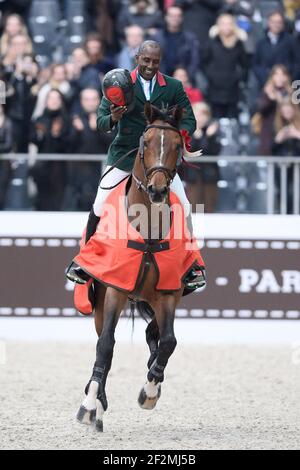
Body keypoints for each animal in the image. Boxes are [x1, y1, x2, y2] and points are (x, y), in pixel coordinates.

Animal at [75, 103, 203, 434]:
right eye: (145, 143)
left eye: (177, 145)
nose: (157, 190)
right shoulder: (115, 291)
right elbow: (106, 346)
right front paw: (89, 406)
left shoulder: (169, 293)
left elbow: (168, 342)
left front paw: (150, 391)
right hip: (102, 302)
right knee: (105, 343)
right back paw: (97, 405)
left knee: (153, 334)